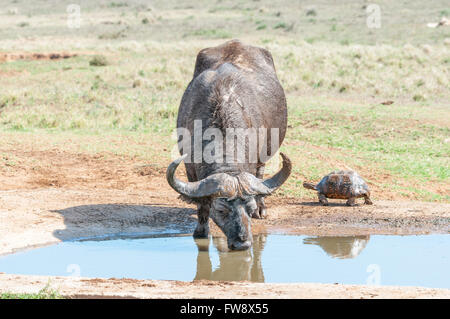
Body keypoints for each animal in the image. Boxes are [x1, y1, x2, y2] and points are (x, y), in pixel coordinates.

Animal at [167, 39, 290, 250]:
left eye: (249, 208)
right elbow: (202, 204)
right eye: (221, 210)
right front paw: (201, 230)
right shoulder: (190, 167)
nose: (242, 243)